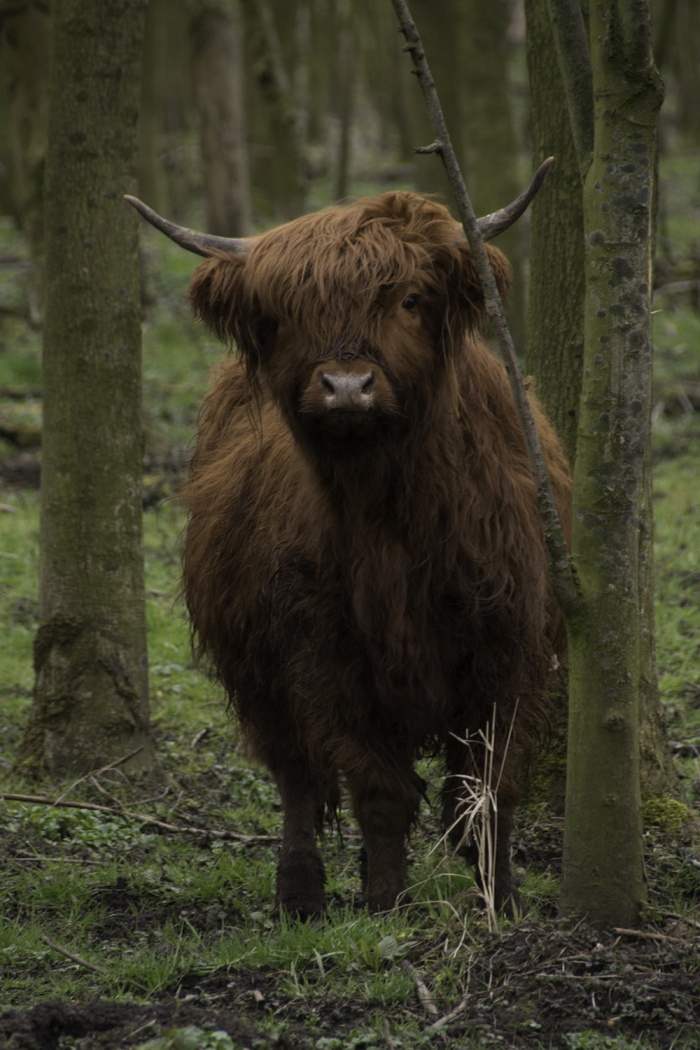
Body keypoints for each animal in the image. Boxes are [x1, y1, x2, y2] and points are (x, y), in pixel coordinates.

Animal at [128, 180, 570, 919]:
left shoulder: (511, 645)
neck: (388, 514)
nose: (345, 388)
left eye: (410, 300)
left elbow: (488, 787)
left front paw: (500, 896)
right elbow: (377, 788)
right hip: (258, 673)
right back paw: (300, 890)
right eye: (290, 313)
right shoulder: (325, 655)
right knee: (296, 777)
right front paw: (386, 900)